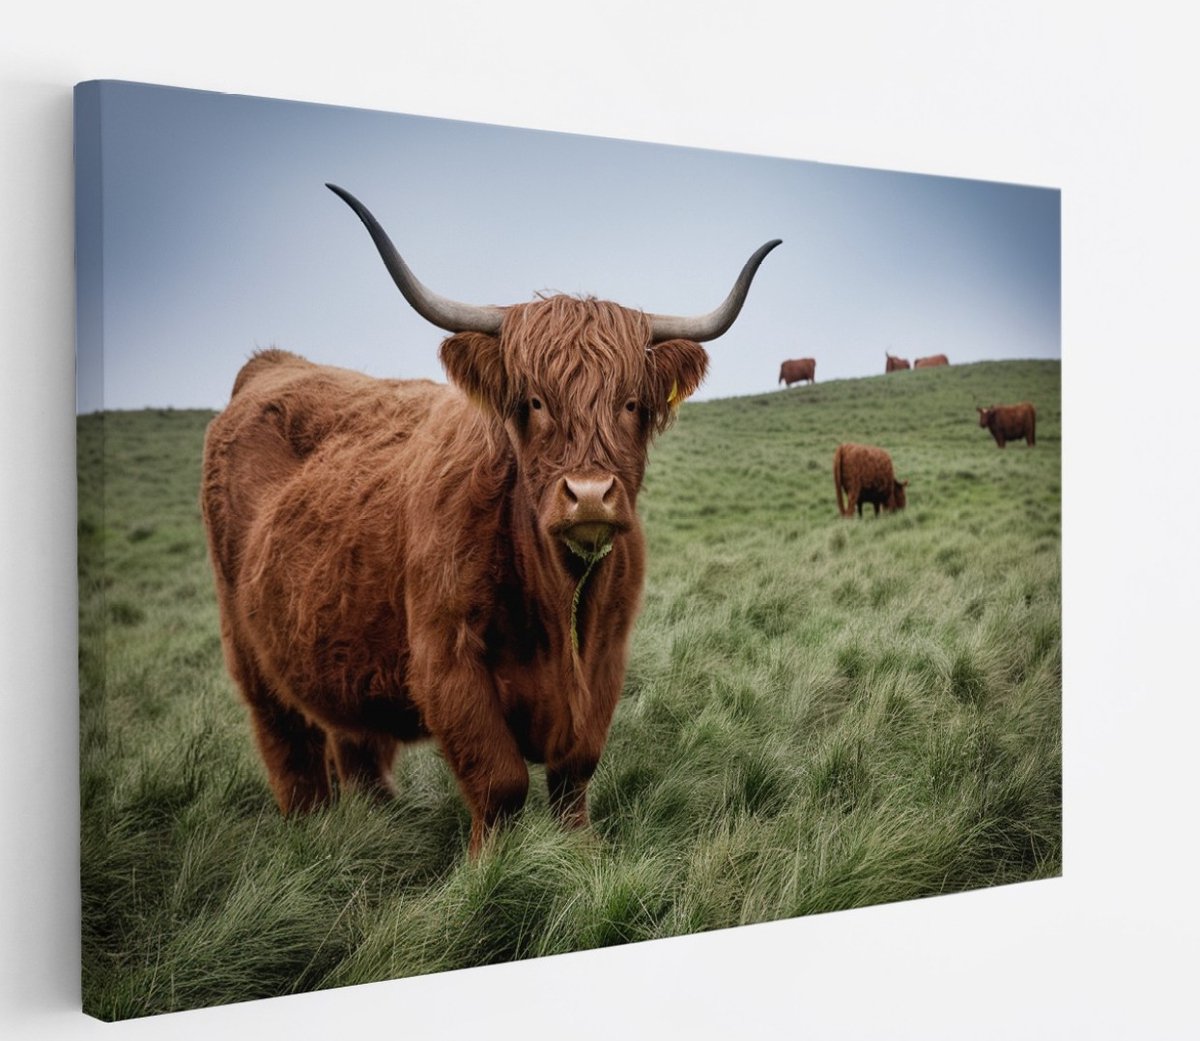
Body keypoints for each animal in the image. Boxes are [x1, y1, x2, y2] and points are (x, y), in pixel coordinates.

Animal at [201, 183, 781, 855]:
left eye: (632, 403)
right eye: (534, 401)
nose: (589, 495)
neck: (556, 597)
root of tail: (273, 362)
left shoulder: (606, 659)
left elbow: (574, 773)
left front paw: (580, 855)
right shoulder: (447, 662)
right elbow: (500, 781)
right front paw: (487, 869)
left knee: (356, 745)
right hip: (250, 652)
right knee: (290, 749)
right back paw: (308, 835)